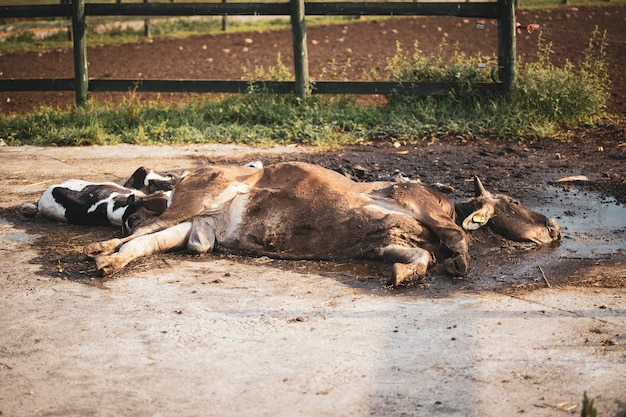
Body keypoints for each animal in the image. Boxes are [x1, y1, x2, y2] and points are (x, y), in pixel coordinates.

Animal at [84, 162, 560, 286]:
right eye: (515, 200)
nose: (554, 226)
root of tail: (188, 174)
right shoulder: (417, 204)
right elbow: (459, 238)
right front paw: (458, 263)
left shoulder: (382, 240)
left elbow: (421, 256)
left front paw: (403, 273)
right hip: (198, 198)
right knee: (139, 230)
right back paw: (96, 251)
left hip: (196, 231)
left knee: (143, 242)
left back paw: (107, 263)